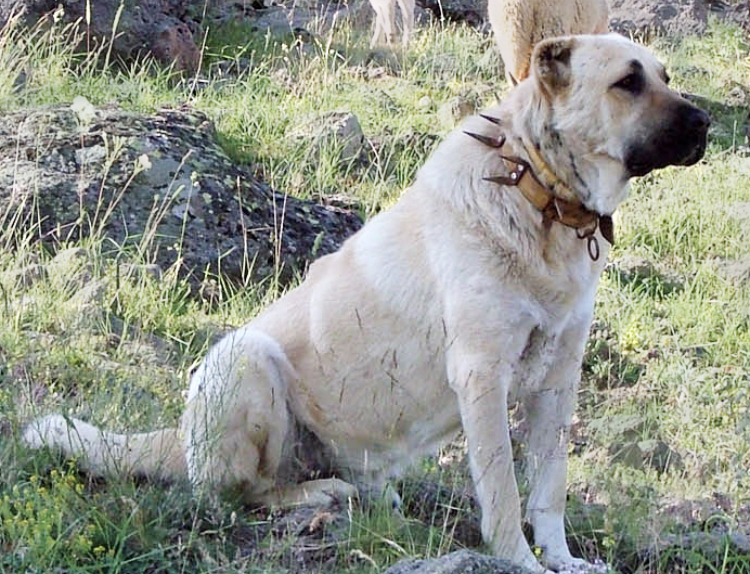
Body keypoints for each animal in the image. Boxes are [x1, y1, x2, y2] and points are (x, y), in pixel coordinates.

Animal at [25, 33, 712, 572]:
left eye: (665, 75)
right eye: (628, 81)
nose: (704, 124)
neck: (538, 192)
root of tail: (179, 437)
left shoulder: (558, 381)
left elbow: (549, 490)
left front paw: (564, 560)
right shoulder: (482, 374)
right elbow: (505, 492)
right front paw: (518, 561)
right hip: (247, 357)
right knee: (244, 493)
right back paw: (322, 494)